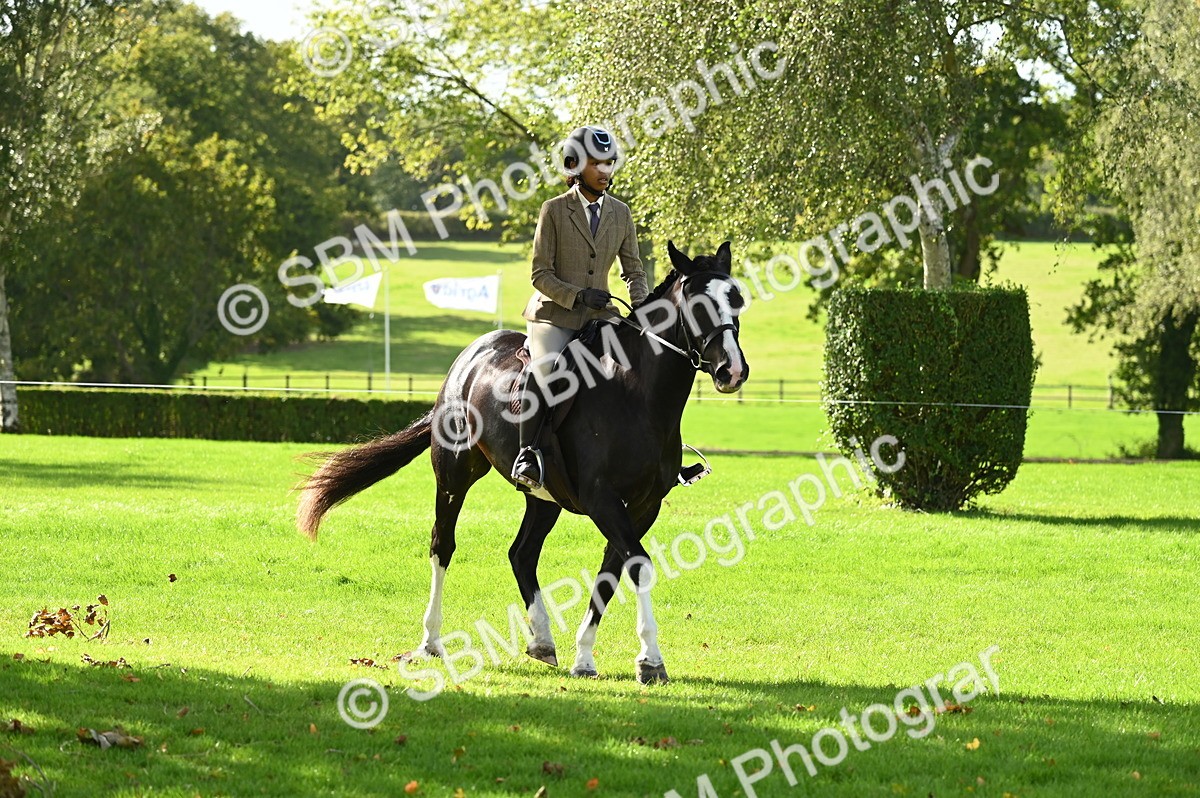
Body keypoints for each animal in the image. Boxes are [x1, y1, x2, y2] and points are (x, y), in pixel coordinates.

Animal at [296, 240, 749, 683]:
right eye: (697, 303)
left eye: (736, 299)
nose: (733, 372)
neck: (637, 396)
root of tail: (470, 356)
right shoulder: (602, 499)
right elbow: (638, 566)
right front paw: (651, 660)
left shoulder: (643, 506)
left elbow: (611, 572)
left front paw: (585, 658)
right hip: (454, 474)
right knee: (443, 545)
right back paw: (431, 642)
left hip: (543, 497)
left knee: (522, 554)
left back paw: (542, 641)